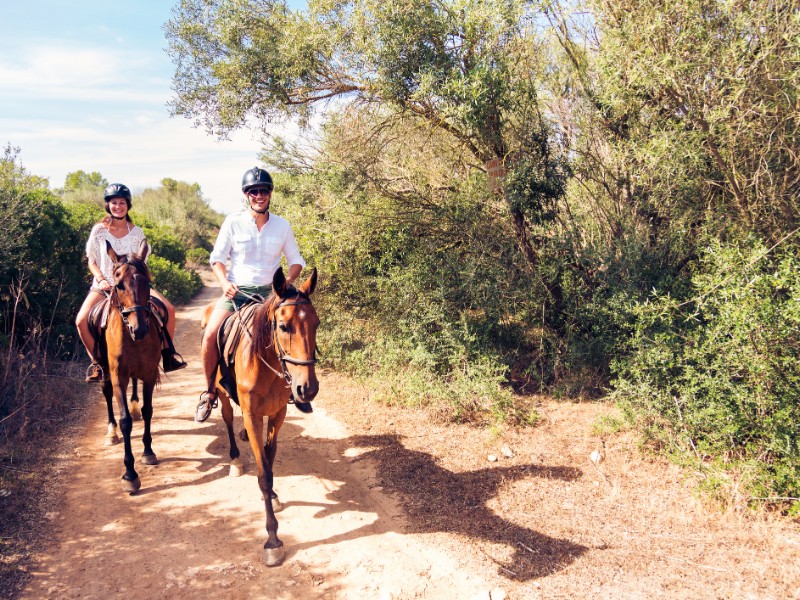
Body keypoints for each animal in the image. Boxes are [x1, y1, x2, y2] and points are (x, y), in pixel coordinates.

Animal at [211, 268, 320, 568]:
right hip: (222, 393)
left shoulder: (278, 413)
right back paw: (235, 459)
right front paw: (272, 540)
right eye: (283, 327)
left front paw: (271, 495)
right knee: (227, 418)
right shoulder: (252, 414)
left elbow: (270, 460)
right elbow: (263, 474)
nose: (308, 389)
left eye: (316, 324)